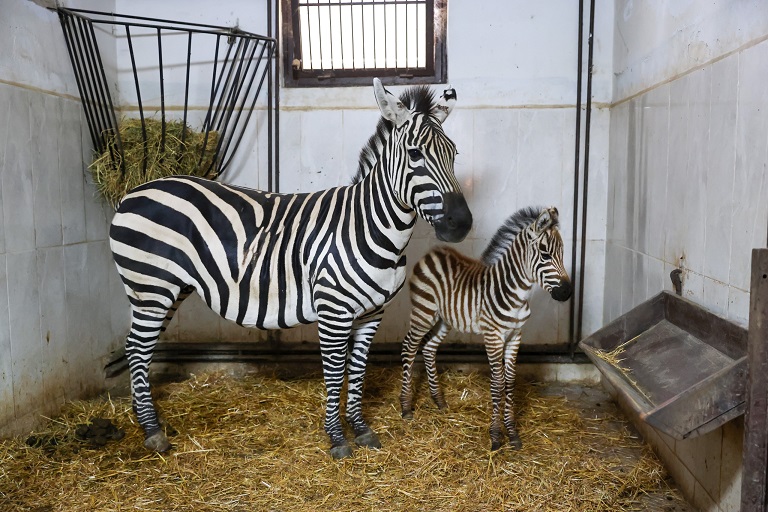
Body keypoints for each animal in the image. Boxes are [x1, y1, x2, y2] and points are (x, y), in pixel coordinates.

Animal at [109, 78, 472, 459]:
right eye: (415, 154)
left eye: (454, 154)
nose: (461, 223)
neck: (370, 225)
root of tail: (134, 190)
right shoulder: (333, 311)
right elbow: (335, 372)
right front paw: (337, 438)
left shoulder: (373, 313)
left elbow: (358, 369)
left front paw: (361, 429)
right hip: (151, 287)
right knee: (137, 349)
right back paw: (152, 432)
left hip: (168, 289)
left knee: (138, 348)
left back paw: (142, 416)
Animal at [399, 206, 571, 451]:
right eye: (545, 254)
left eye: (562, 254)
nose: (566, 293)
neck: (515, 293)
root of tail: (432, 252)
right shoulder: (493, 336)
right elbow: (498, 383)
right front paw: (496, 435)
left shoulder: (515, 336)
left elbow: (510, 381)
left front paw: (512, 433)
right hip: (424, 313)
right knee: (409, 348)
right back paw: (405, 407)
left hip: (444, 319)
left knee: (429, 348)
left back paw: (439, 401)